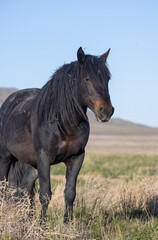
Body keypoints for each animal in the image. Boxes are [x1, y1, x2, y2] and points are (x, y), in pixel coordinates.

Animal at [0, 47, 114, 223]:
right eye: (87, 79)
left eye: (107, 79)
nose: (106, 111)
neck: (64, 123)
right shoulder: (44, 157)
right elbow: (45, 194)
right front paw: (42, 226)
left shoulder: (76, 158)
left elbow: (70, 193)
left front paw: (68, 224)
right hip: (6, 157)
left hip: (31, 164)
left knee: (25, 191)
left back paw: (26, 221)